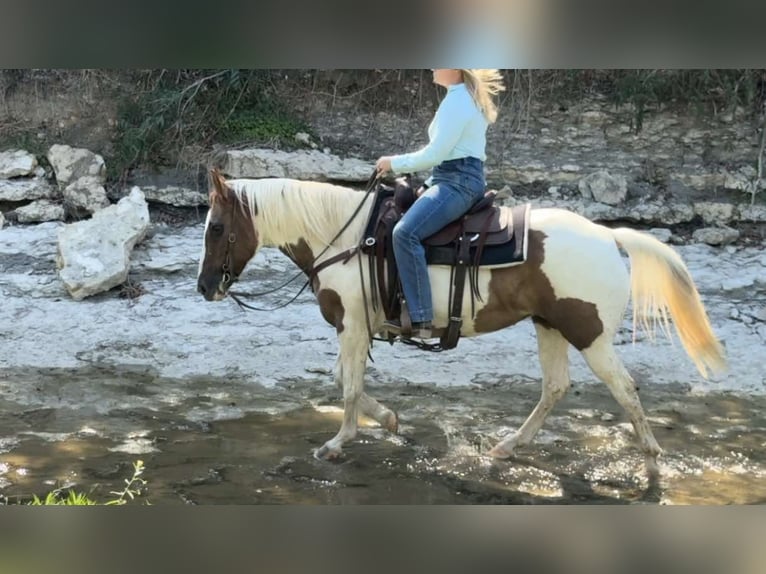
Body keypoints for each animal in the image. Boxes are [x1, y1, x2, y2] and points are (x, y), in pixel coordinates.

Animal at [196, 168, 726, 481]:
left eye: (217, 227)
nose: (204, 286)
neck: (344, 238)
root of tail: (608, 235)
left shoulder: (351, 326)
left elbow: (347, 387)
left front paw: (337, 444)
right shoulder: (356, 330)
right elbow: (346, 380)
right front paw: (389, 420)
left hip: (589, 335)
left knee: (626, 389)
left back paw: (653, 462)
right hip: (549, 326)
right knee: (555, 387)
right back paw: (506, 447)